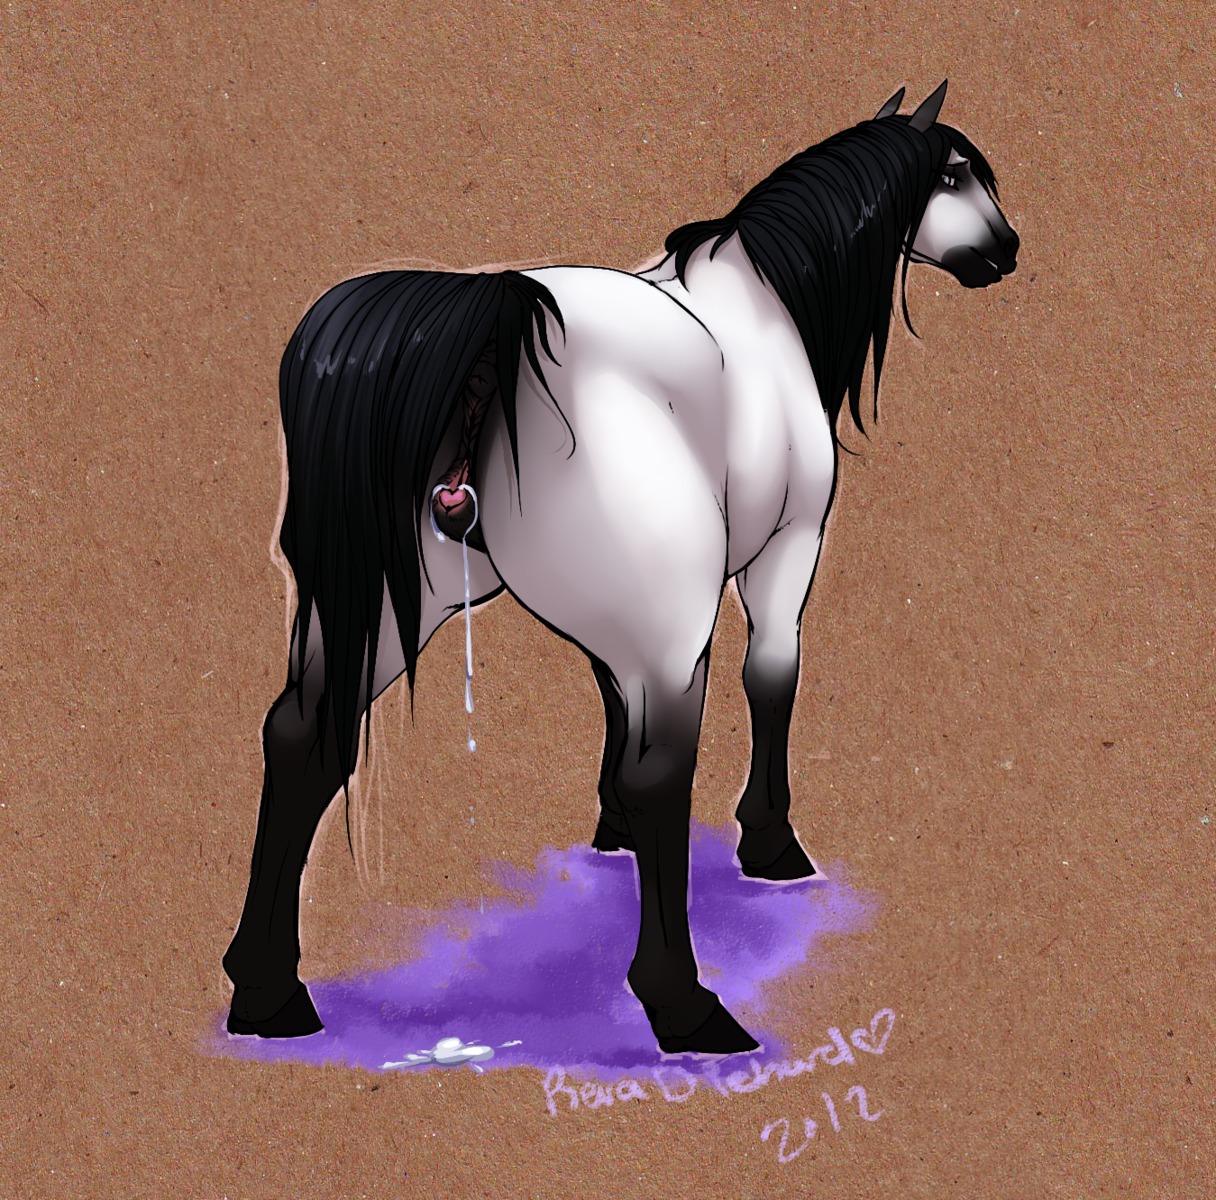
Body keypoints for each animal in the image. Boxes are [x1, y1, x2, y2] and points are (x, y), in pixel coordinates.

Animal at [222, 81, 1019, 1055]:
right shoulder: (783, 553)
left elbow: (610, 696)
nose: (1009, 250)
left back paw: (267, 991)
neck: (765, 306)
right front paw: (768, 842)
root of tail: (498, 324)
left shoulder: (621, 623)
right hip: (661, 621)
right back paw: (684, 1003)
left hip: (372, 605)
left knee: (302, 736)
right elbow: (771, 677)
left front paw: (612, 829)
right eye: (954, 173)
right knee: (664, 769)